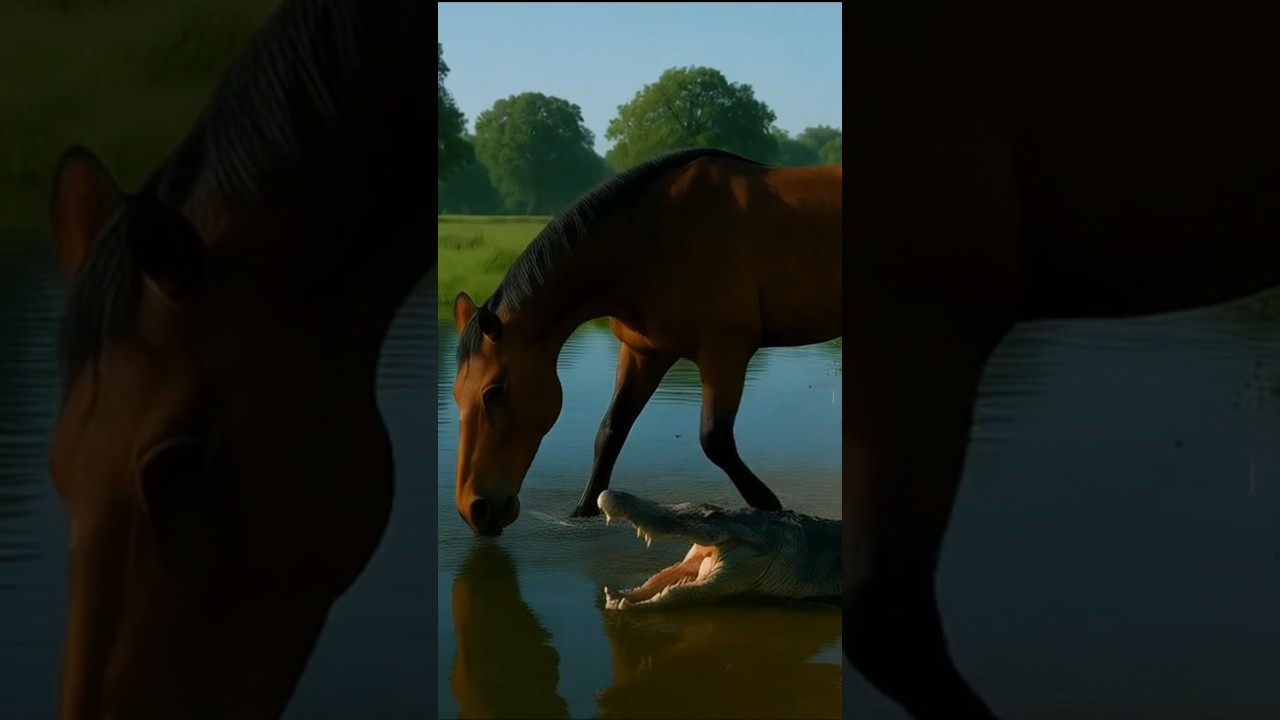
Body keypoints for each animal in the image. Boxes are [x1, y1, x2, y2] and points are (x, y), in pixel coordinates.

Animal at [449, 148, 842, 535]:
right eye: (456, 394)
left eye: (493, 392)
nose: (475, 509)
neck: (656, 237)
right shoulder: (643, 353)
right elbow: (611, 430)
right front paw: (583, 511)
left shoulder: (724, 352)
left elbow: (715, 440)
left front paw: (773, 507)